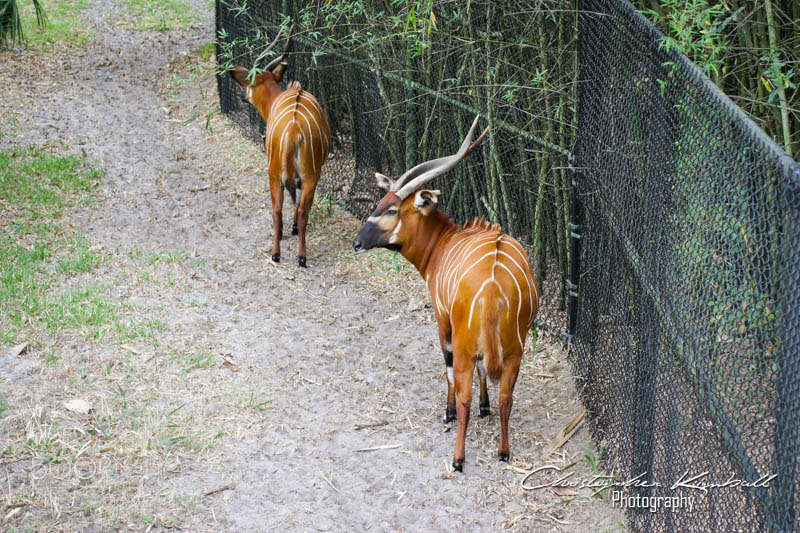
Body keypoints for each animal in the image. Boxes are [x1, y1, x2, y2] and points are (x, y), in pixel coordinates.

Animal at [230, 25, 330, 266]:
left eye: (249, 81)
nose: (243, 96)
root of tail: (294, 131)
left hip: (276, 172)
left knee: (279, 209)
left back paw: (278, 254)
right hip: (309, 175)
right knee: (299, 209)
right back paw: (300, 256)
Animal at [354, 116, 540, 470]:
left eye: (392, 210)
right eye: (381, 203)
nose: (357, 242)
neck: (444, 240)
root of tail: (493, 286)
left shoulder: (443, 321)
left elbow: (448, 368)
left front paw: (448, 412)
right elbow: (485, 379)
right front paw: (485, 407)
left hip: (467, 343)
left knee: (463, 388)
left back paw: (458, 458)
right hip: (515, 350)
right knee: (507, 397)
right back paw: (503, 451)